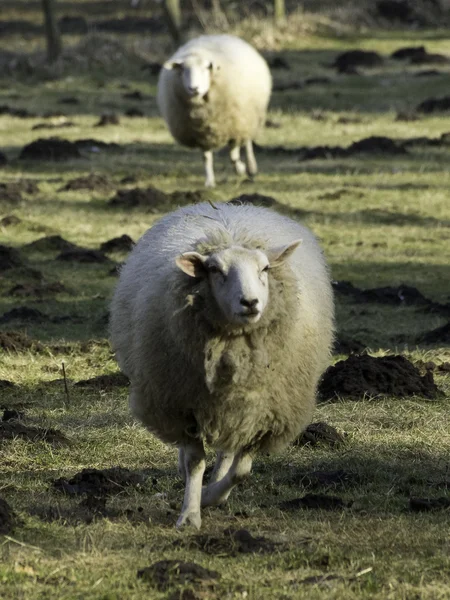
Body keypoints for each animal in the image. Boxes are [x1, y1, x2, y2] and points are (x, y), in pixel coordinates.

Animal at [109, 203, 334, 528]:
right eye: (215, 270)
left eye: (265, 269)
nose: (250, 302)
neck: (233, 354)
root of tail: (227, 208)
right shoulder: (182, 404)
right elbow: (195, 462)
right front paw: (190, 513)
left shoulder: (264, 414)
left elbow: (241, 471)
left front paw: (210, 496)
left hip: (234, 407)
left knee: (228, 451)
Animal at [156, 35, 272, 185]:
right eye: (183, 70)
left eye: (206, 68)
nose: (194, 88)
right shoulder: (202, 133)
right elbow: (206, 157)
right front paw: (210, 181)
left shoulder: (234, 124)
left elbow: (233, 153)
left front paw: (241, 169)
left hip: (247, 118)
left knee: (246, 143)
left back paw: (251, 168)